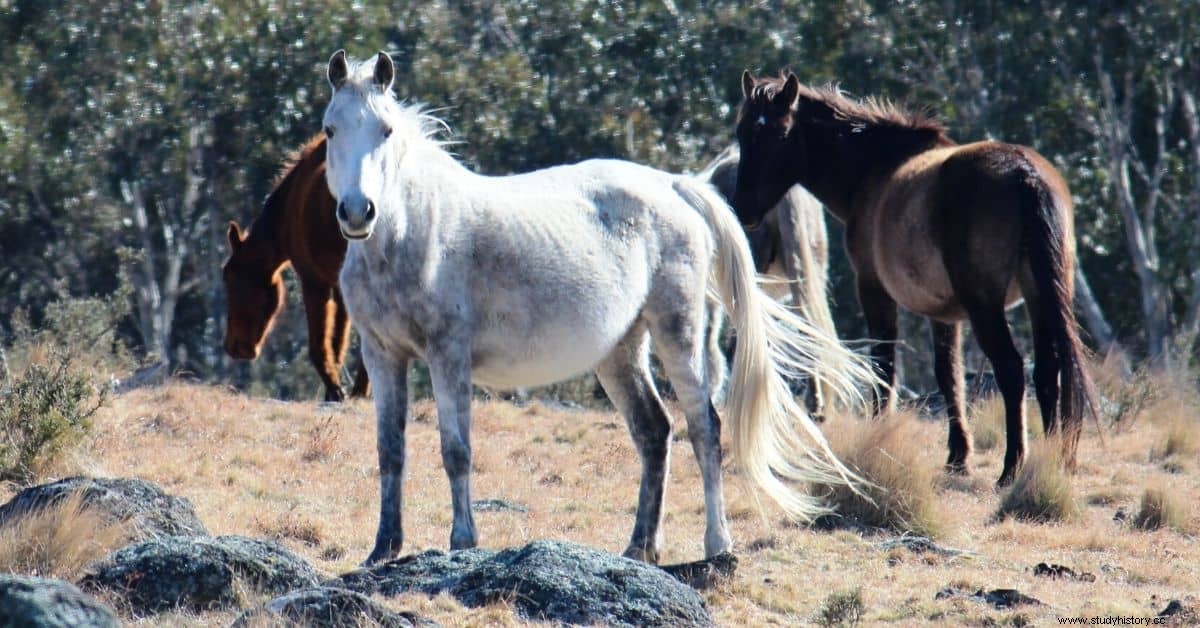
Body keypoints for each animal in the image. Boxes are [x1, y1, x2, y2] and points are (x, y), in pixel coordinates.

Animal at [222, 135, 367, 405]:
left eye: (230, 277)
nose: (233, 347)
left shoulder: (313, 279)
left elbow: (319, 344)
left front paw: (336, 390)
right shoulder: (338, 285)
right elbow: (338, 342)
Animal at [729, 73, 1099, 487]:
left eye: (778, 134)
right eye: (743, 132)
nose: (742, 208)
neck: (875, 167)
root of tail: (1025, 174)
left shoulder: (873, 289)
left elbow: (884, 367)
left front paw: (878, 439)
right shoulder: (944, 314)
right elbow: (949, 376)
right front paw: (958, 456)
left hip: (985, 306)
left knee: (1012, 369)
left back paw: (1011, 467)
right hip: (1039, 297)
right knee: (1048, 371)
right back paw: (1048, 462)